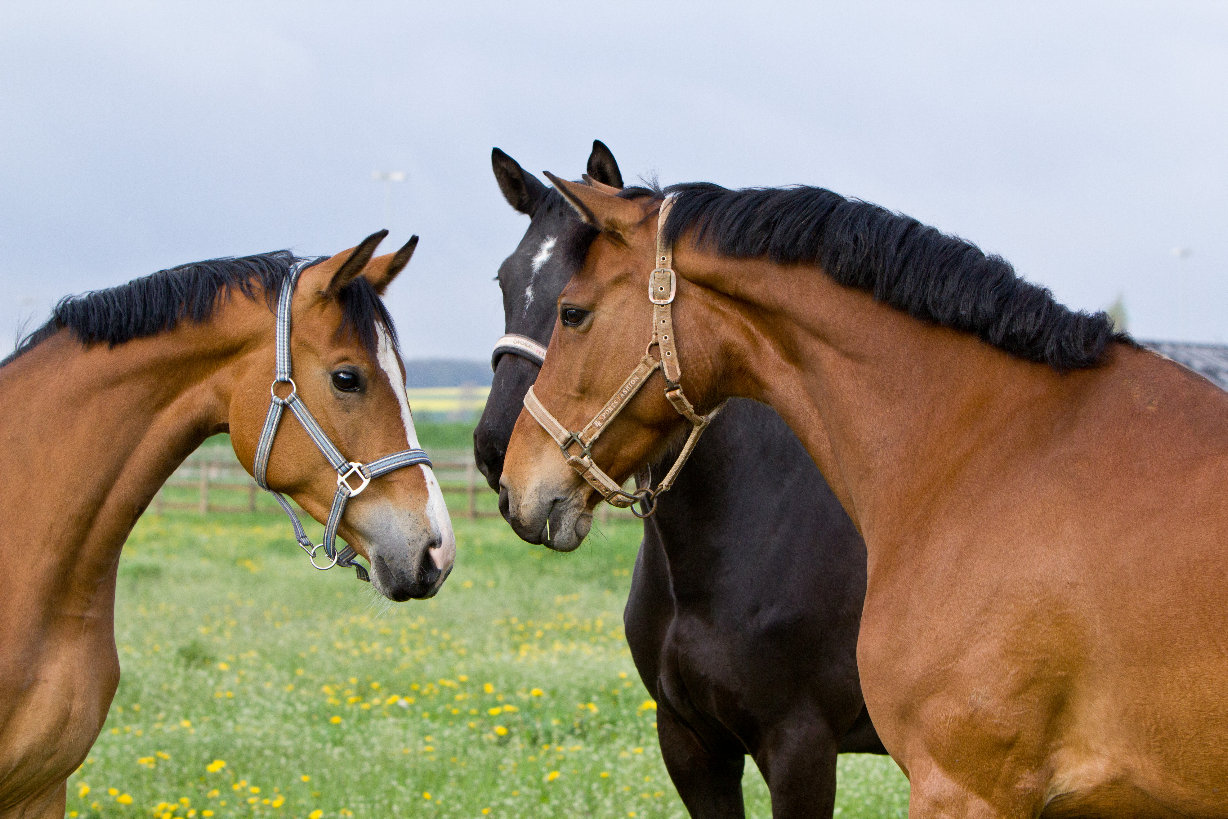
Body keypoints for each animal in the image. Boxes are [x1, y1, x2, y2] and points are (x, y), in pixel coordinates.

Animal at [501, 176, 1228, 815]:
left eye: (572, 311)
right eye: (505, 282)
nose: (509, 479)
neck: (996, 450)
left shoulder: (936, 779)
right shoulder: (695, 742)